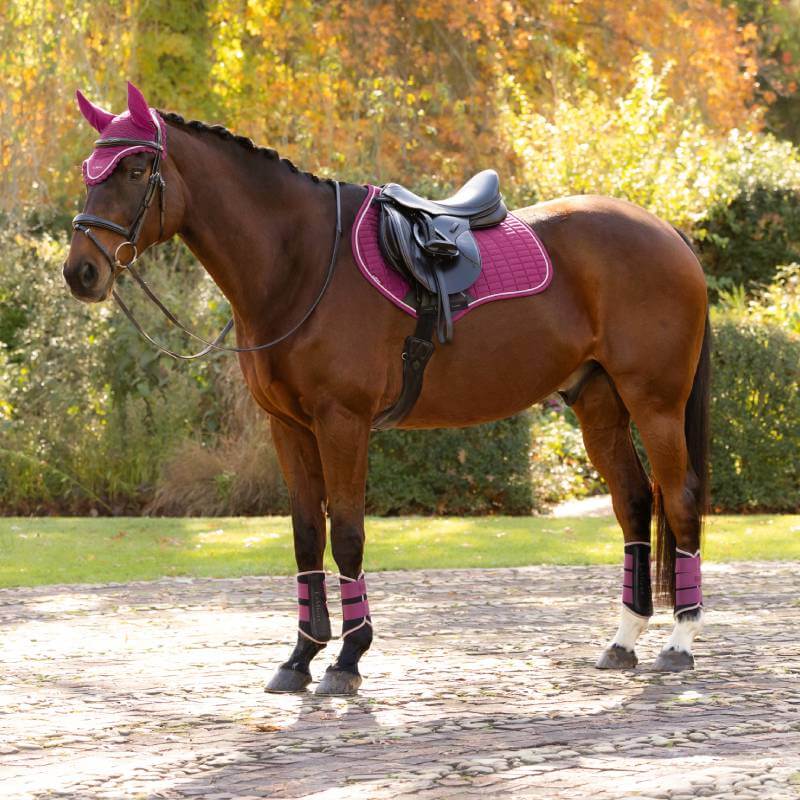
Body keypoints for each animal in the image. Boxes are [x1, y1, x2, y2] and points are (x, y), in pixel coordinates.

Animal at [63, 83, 710, 696]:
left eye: (135, 170)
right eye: (89, 171)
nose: (81, 272)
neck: (301, 263)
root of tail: (666, 231)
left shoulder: (342, 422)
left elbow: (347, 535)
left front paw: (347, 658)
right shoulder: (289, 427)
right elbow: (306, 537)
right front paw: (299, 657)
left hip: (655, 403)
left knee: (680, 500)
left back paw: (679, 642)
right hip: (598, 403)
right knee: (634, 504)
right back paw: (623, 640)